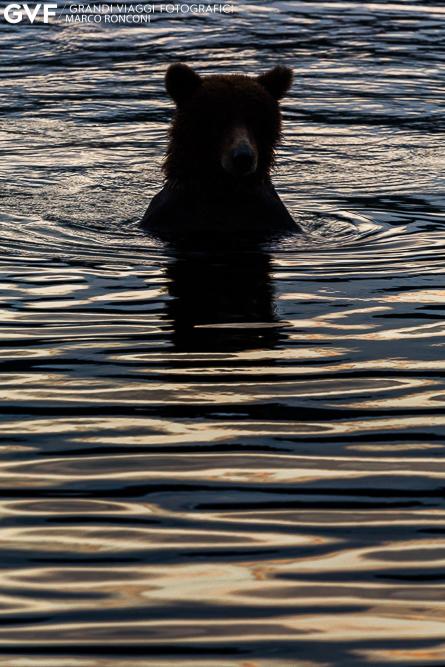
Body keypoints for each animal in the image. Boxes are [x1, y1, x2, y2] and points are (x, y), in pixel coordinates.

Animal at [140, 62, 296, 239]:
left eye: (255, 119)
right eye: (218, 119)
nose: (243, 157)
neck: (222, 189)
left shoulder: (268, 215)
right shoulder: (170, 215)